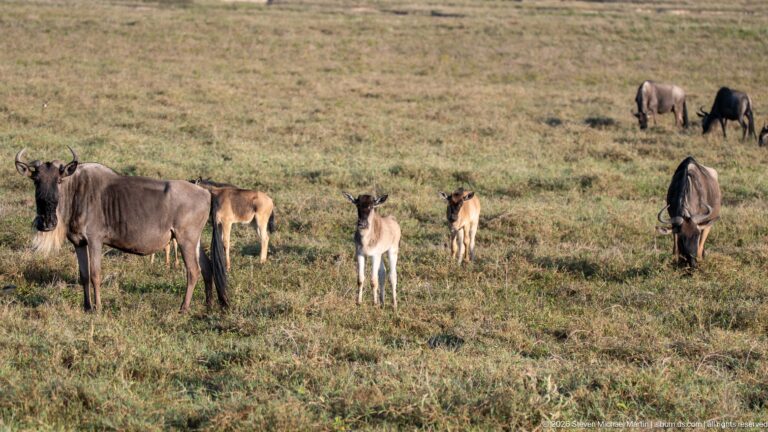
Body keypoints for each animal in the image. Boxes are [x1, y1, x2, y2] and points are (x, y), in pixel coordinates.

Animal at [14, 148, 228, 312]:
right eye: (36, 180)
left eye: (59, 181)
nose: (46, 223)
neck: (77, 192)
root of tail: (206, 192)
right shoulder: (78, 242)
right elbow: (84, 275)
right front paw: (86, 307)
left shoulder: (95, 240)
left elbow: (95, 274)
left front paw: (98, 308)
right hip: (194, 241)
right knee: (207, 267)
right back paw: (208, 305)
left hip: (185, 240)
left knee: (193, 271)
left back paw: (183, 308)